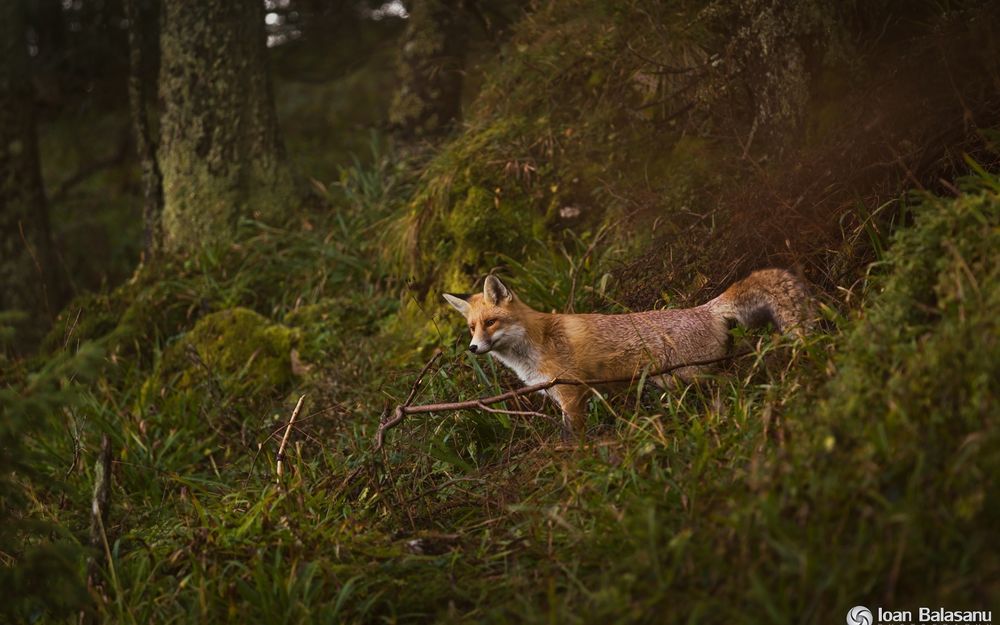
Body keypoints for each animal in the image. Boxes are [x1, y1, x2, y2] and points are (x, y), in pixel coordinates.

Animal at [443, 269, 813, 439]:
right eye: (471, 328)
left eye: (491, 322)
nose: (473, 348)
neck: (535, 346)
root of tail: (704, 308)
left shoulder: (571, 395)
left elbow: (573, 439)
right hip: (673, 382)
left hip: (693, 375)